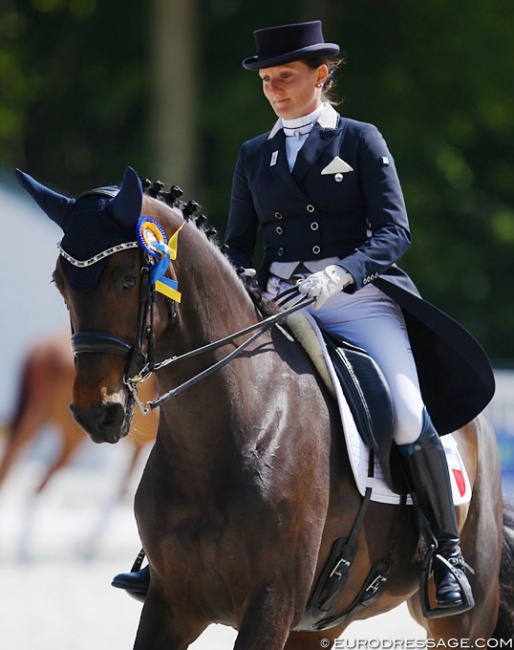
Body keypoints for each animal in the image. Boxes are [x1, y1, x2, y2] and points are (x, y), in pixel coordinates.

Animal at [16, 165, 512, 644]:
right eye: (60, 284)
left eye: (125, 281)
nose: (96, 412)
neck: (227, 433)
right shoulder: (171, 603)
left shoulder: (272, 604)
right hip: (321, 624)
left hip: (461, 620)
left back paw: (449, 576)